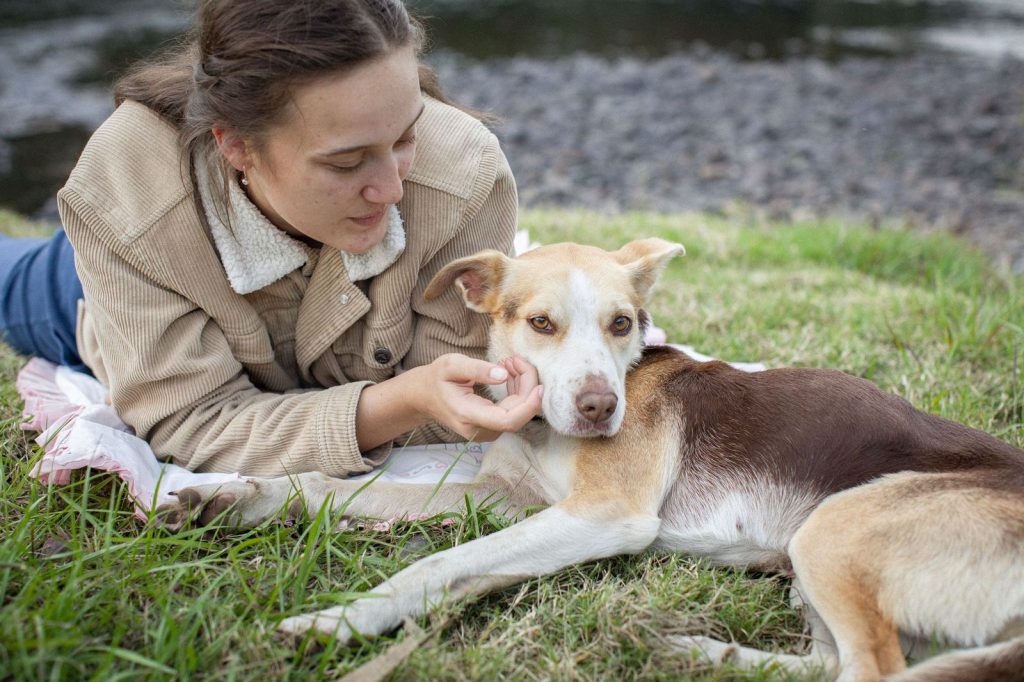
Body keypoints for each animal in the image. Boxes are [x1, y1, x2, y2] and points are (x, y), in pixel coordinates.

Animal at [161, 238, 1024, 679]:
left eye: (622, 323)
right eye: (540, 323)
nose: (601, 410)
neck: (549, 432)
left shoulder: (605, 516)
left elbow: (438, 564)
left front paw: (341, 620)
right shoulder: (512, 498)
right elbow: (335, 491)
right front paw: (238, 499)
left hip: (833, 528)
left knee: (871, 670)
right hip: (810, 565)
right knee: (830, 665)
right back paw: (698, 650)